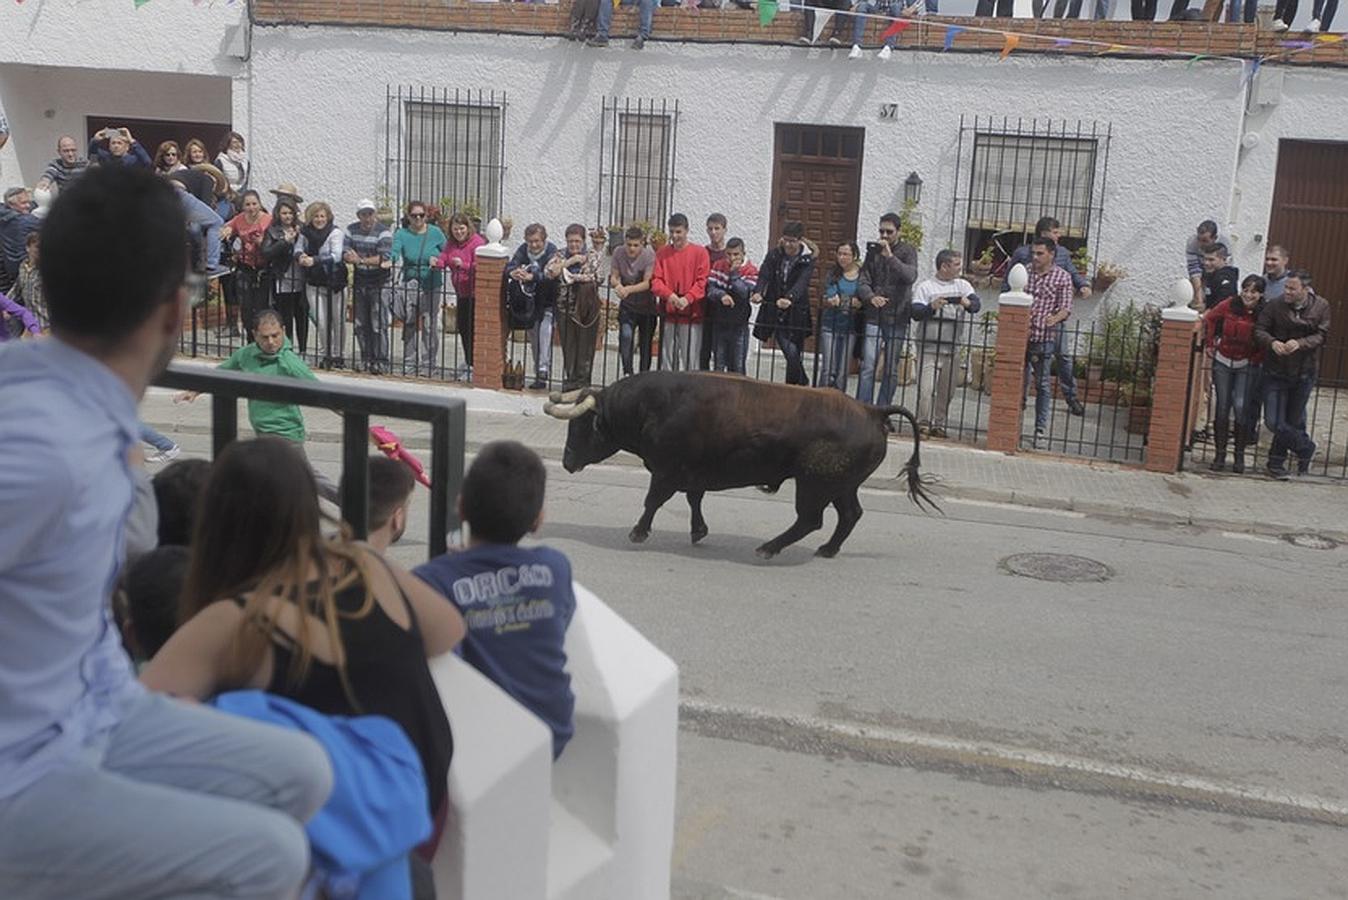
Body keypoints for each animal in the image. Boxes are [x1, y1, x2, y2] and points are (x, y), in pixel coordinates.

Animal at [541, 371, 932, 555]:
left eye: (580, 426)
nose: (567, 461)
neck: (654, 405)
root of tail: (871, 410)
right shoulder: (692, 472)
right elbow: (693, 498)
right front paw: (698, 531)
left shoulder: (666, 470)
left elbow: (653, 501)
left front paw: (638, 532)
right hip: (840, 486)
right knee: (849, 515)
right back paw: (827, 550)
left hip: (813, 486)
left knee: (810, 520)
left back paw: (769, 547)